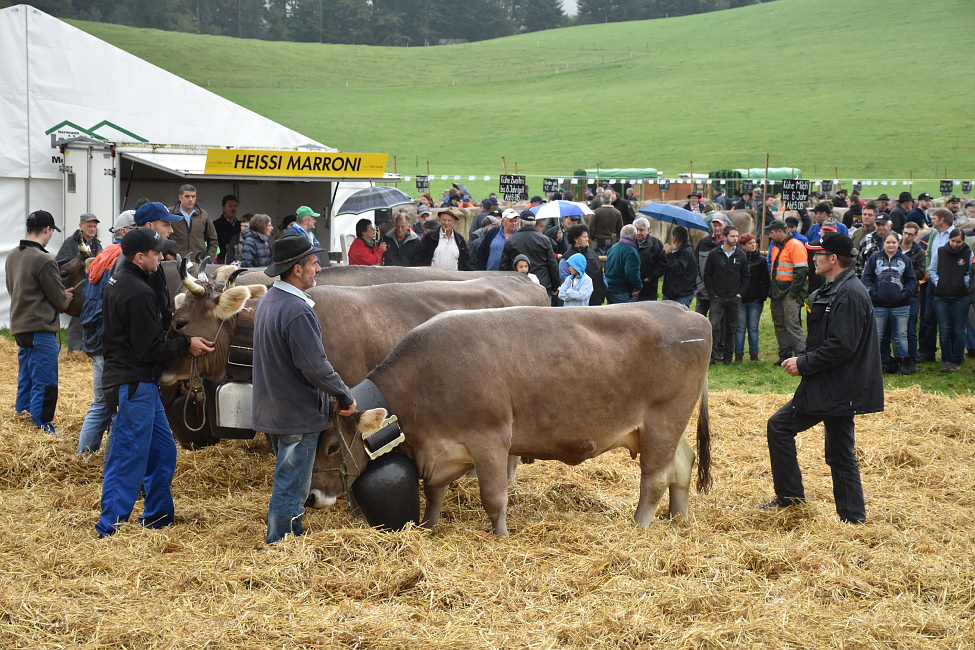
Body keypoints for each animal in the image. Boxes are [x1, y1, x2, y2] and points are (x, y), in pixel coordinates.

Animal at [316, 302, 712, 536]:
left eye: (333, 445)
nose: (312, 497)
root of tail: (686, 311)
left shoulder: (489, 438)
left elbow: (493, 496)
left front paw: (501, 536)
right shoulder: (441, 450)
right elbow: (433, 492)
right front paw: (430, 527)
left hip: (664, 418)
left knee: (655, 478)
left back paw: (639, 526)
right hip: (663, 427)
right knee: (683, 462)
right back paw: (679, 519)